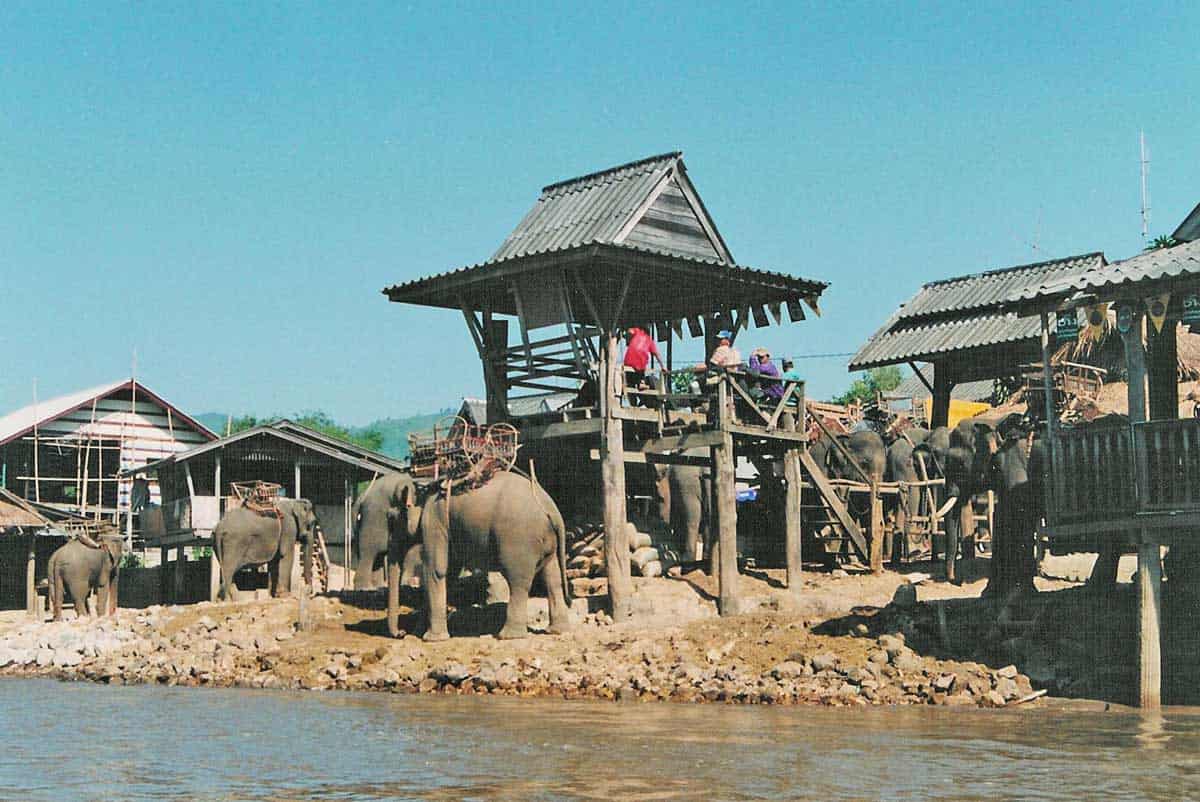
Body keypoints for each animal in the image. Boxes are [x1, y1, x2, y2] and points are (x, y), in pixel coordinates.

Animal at [384, 473, 571, 643]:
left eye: (391, 519)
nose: (401, 633)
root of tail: (551, 509)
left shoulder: (435, 521)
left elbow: (436, 570)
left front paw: (432, 639)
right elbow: (449, 574)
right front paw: (417, 633)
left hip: (519, 541)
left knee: (518, 582)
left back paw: (507, 636)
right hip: (549, 543)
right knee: (552, 578)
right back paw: (556, 630)